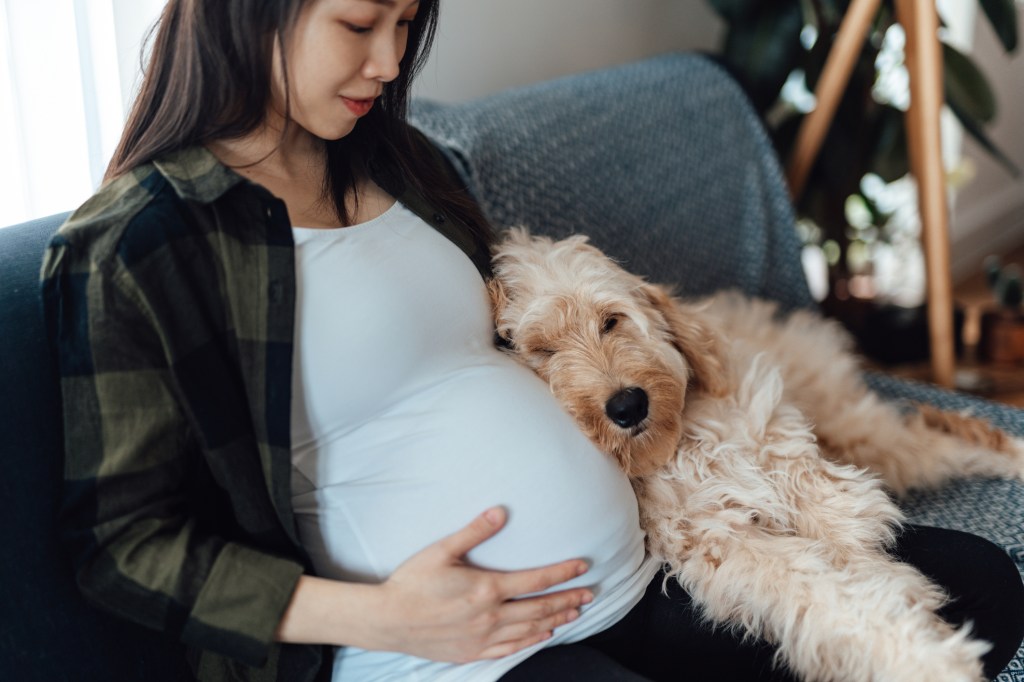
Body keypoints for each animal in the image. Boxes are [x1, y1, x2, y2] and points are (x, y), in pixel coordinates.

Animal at [485, 229, 1024, 679]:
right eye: (543, 351)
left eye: (611, 321)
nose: (628, 404)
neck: (681, 444)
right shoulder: (730, 545)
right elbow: (833, 593)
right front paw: (921, 653)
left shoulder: (795, 468)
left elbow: (848, 540)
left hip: (856, 429)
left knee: (958, 438)